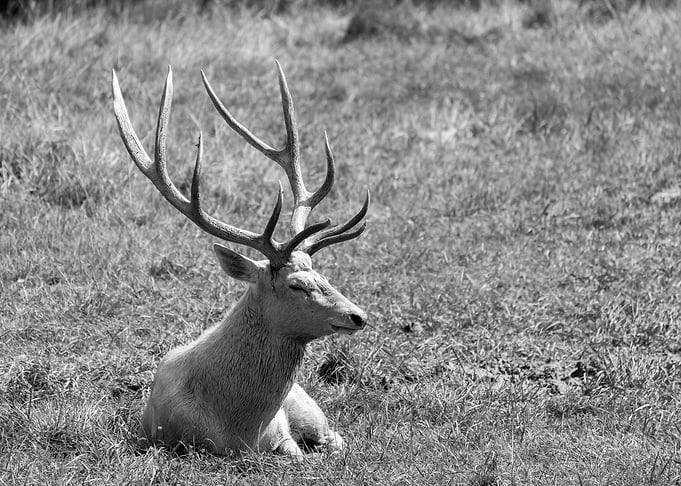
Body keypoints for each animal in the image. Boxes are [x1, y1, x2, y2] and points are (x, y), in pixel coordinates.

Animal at [111, 61, 369, 457]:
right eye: (296, 285)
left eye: (322, 275)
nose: (358, 316)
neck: (240, 429)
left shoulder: (283, 435)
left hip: (310, 409)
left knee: (337, 439)